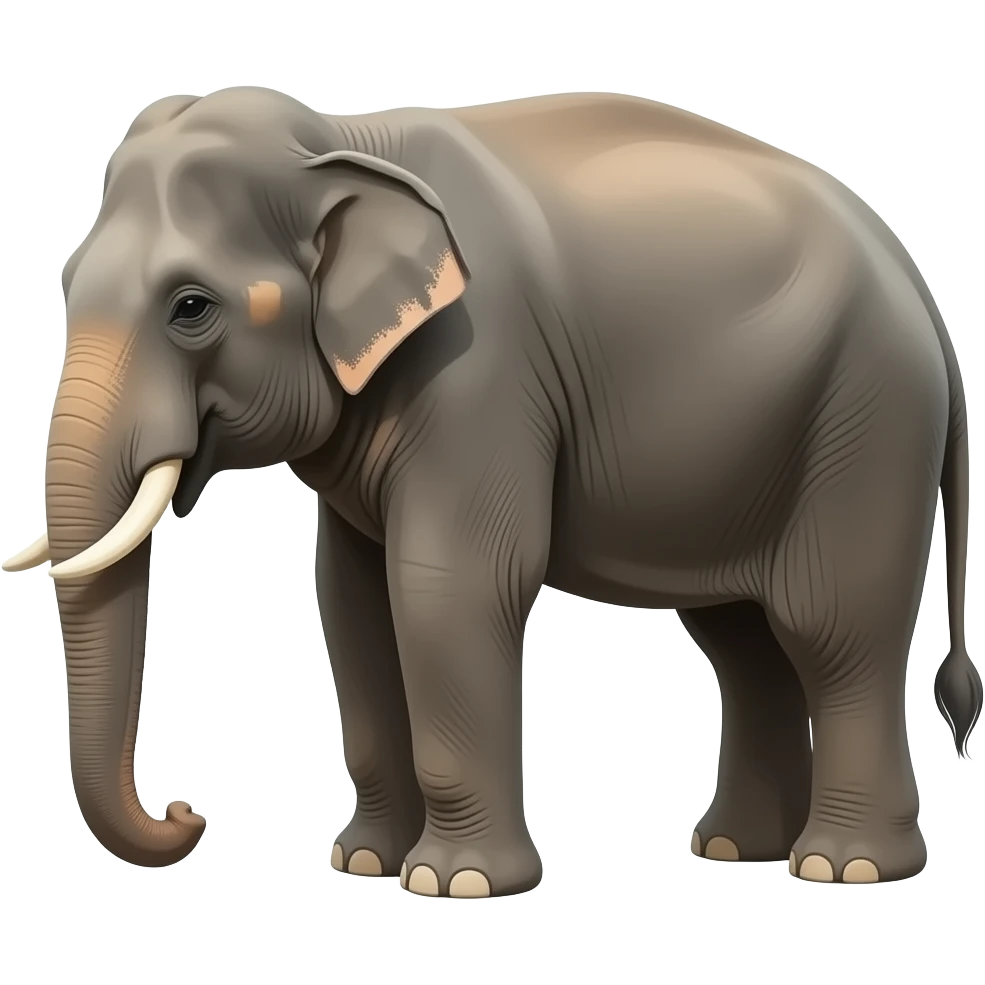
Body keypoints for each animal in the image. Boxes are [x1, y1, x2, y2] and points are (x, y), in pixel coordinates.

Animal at [2, 88, 979, 894]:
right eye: (66, 282)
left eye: (191, 307)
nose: (186, 810)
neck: (340, 140)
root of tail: (919, 284)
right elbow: (353, 604)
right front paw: (364, 862)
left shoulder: (481, 373)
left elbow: (444, 586)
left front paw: (454, 882)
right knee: (741, 640)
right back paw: (735, 848)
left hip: (866, 419)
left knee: (829, 625)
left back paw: (842, 866)